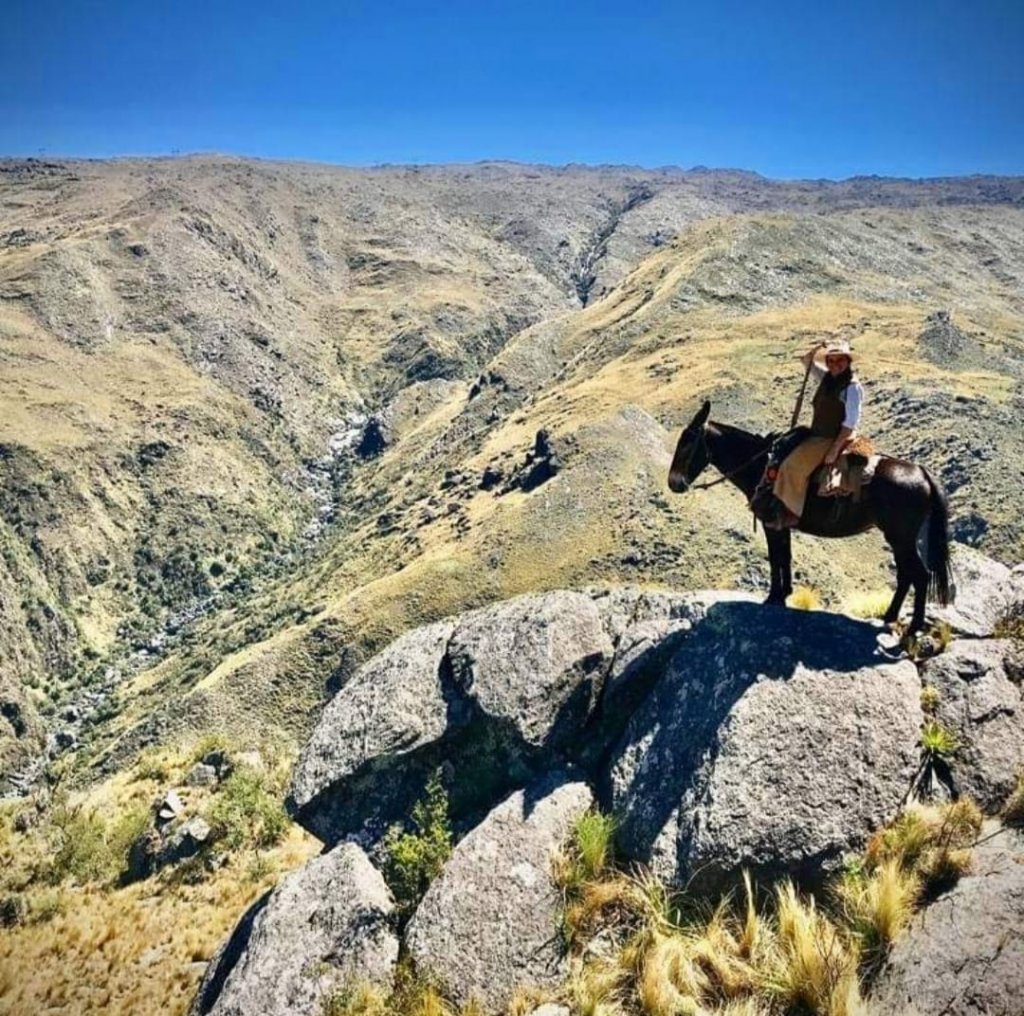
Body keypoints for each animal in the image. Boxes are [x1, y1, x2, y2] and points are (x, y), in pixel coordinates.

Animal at [671, 401, 950, 630]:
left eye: (687, 443)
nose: (673, 483)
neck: (761, 465)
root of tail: (922, 472)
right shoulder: (782, 524)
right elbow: (785, 556)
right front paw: (784, 594)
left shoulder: (771, 523)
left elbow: (775, 557)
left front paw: (772, 598)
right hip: (900, 539)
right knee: (906, 575)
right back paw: (889, 616)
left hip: (900, 537)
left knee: (919, 575)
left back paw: (913, 627)